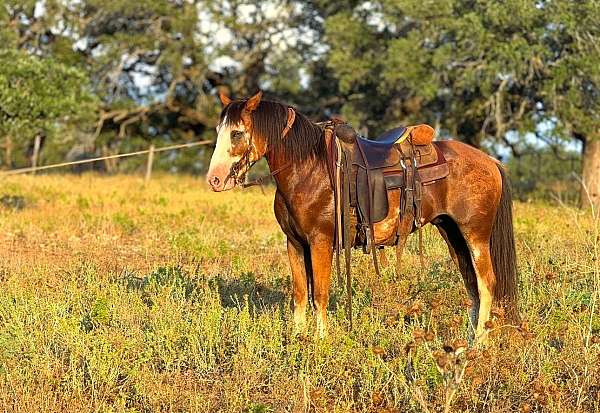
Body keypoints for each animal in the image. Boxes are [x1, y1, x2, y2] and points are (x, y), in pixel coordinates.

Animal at [206, 91, 516, 340]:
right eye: (219, 131)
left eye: (236, 133)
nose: (215, 180)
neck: (307, 169)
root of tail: (491, 161)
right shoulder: (294, 243)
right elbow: (300, 294)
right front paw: (297, 339)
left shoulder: (321, 242)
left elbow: (320, 294)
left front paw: (320, 342)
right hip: (453, 234)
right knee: (473, 286)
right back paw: (467, 341)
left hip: (475, 235)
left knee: (486, 284)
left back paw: (477, 345)